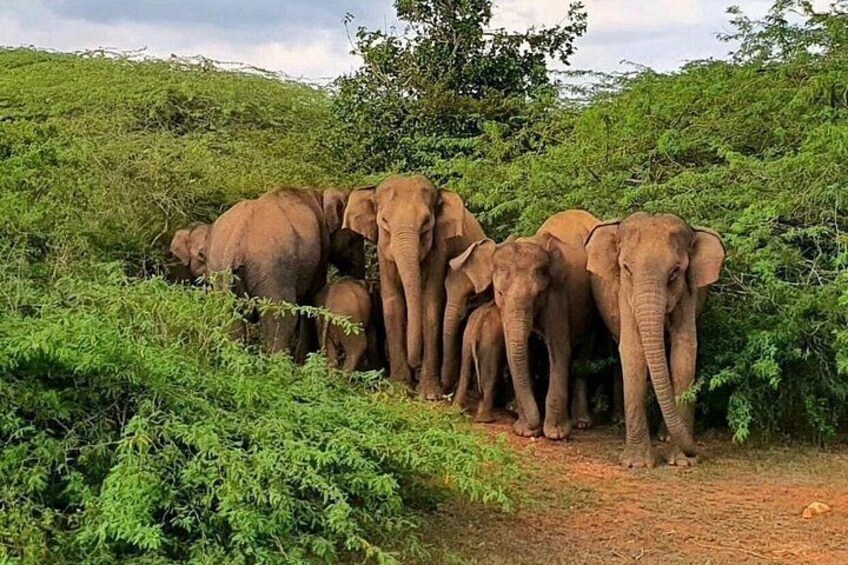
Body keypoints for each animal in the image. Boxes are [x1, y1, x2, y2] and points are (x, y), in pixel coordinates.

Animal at [206, 187, 364, 354]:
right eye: (356, 238)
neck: (319, 195)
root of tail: (236, 242)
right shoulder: (321, 250)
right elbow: (312, 297)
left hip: (219, 270)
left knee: (230, 318)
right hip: (272, 269)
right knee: (281, 321)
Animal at [343, 174, 485, 398]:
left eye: (426, 223)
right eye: (384, 222)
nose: (414, 364)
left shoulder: (438, 250)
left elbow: (430, 305)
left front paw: (429, 395)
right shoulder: (383, 254)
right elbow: (393, 305)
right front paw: (399, 389)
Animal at [447, 210, 601, 438]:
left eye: (537, 295)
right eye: (499, 293)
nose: (533, 427)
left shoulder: (557, 292)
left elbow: (560, 349)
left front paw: (555, 434)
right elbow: (524, 351)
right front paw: (524, 430)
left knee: (584, 349)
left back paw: (581, 423)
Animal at [585, 212, 725, 468]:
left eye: (675, 272)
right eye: (626, 269)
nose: (697, 453)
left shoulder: (687, 295)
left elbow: (684, 352)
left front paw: (682, 462)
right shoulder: (624, 294)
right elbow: (633, 351)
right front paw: (636, 464)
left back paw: (665, 436)